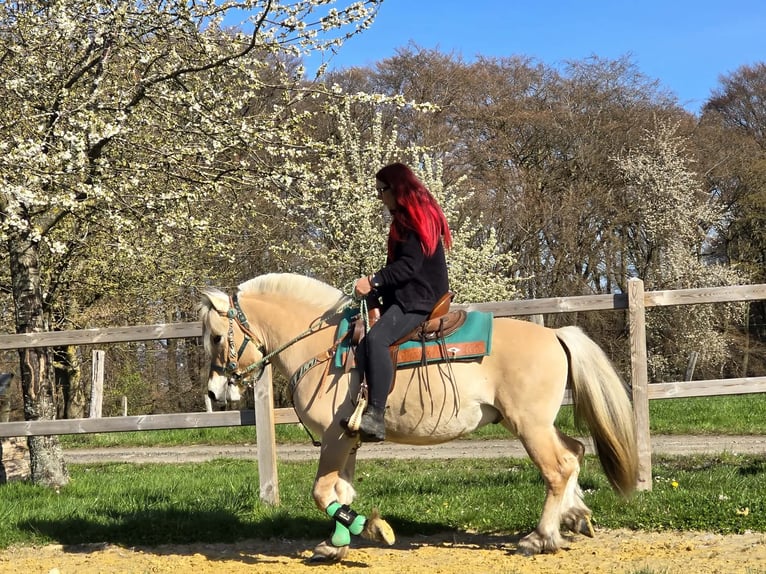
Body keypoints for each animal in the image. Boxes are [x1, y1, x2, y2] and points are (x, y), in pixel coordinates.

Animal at [199, 272, 638, 561]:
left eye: (218, 337)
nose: (214, 392)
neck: (326, 348)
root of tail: (556, 334)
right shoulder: (348, 439)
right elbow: (342, 492)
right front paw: (335, 543)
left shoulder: (334, 439)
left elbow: (323, 492)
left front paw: (369, 528)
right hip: (540, 424)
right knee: (575, 452)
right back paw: (576, 517)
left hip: (529, 426)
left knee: (558, 468)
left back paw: (540, 536)